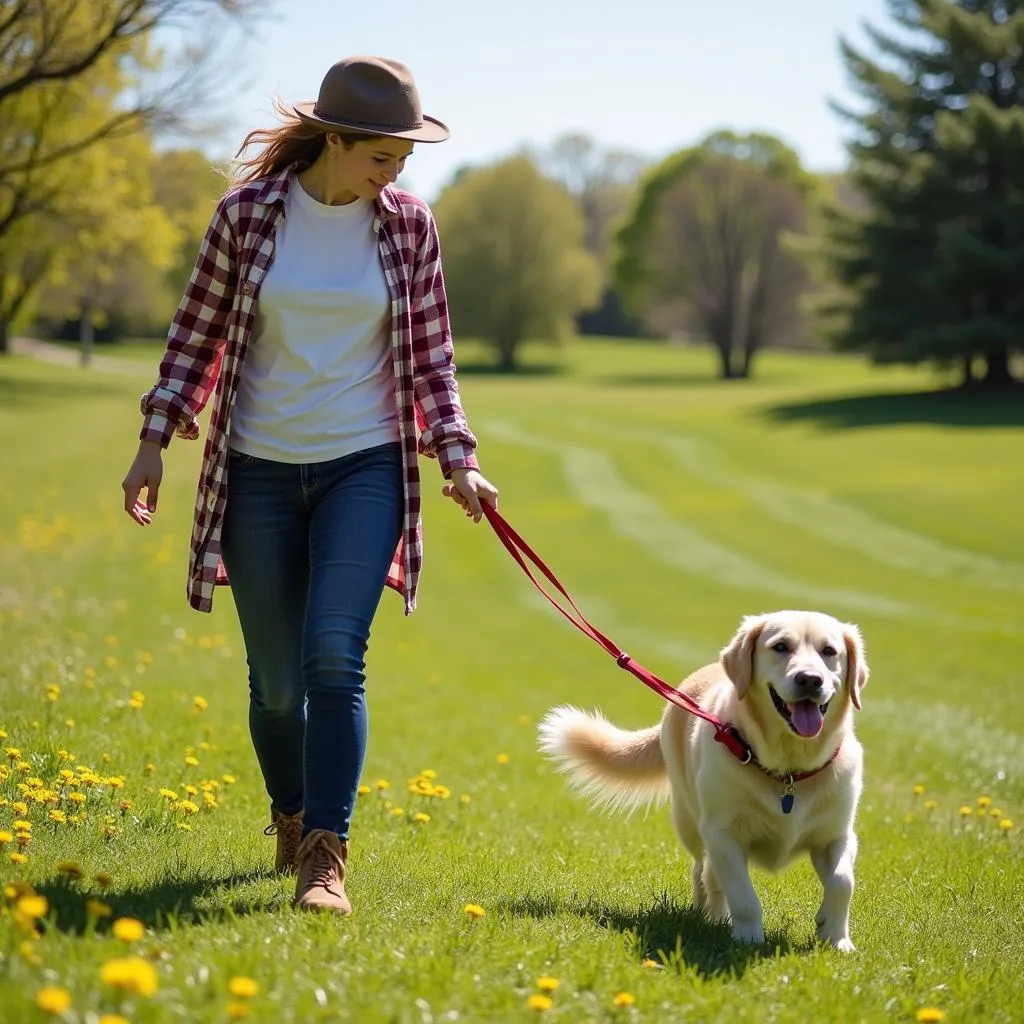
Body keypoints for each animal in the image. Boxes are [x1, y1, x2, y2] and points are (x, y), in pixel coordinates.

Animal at [540, 606, 868, 950]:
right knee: (705, 872)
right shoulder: (722, 833)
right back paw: (712, 917)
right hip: (691, 821)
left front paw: (836, 938)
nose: (810, 679)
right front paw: (749, 939)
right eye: (780, 647)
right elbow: (742, 895)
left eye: (829, 651)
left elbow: (842, 882)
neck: (788, 771)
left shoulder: (838, 835)